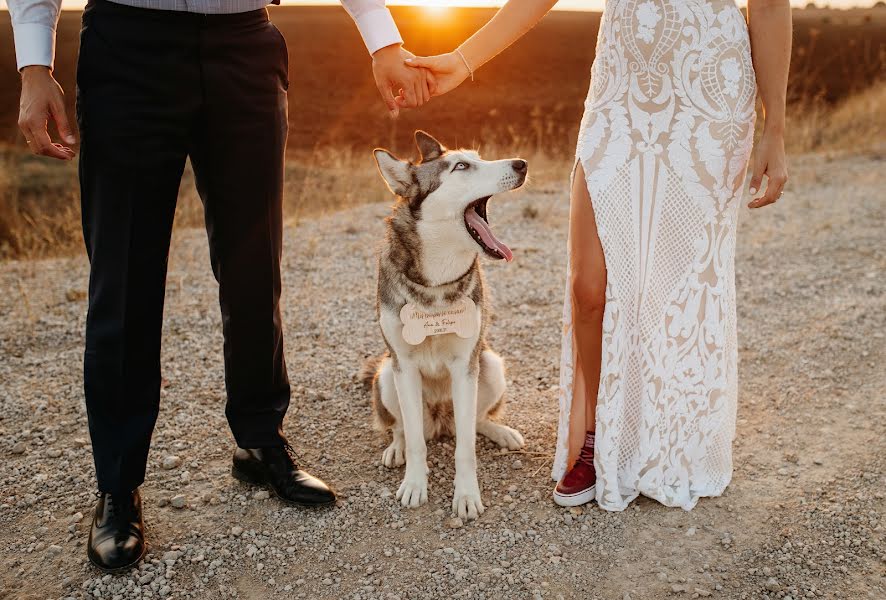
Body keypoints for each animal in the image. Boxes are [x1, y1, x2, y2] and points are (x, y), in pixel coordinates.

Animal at [360, 131, 528, 520]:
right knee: (404, 429)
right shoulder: (404, 366)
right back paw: (396, 447)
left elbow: (466, 447)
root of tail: (440, 422)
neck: (436, 282)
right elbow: (415, 442)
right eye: (461, 166)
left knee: (474, 422)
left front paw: (466, 495)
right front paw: (414, 484)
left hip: (490, 365)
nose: (522, 164)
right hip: (386, 376)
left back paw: (500, 432)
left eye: (479, 157)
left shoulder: (465, 365)